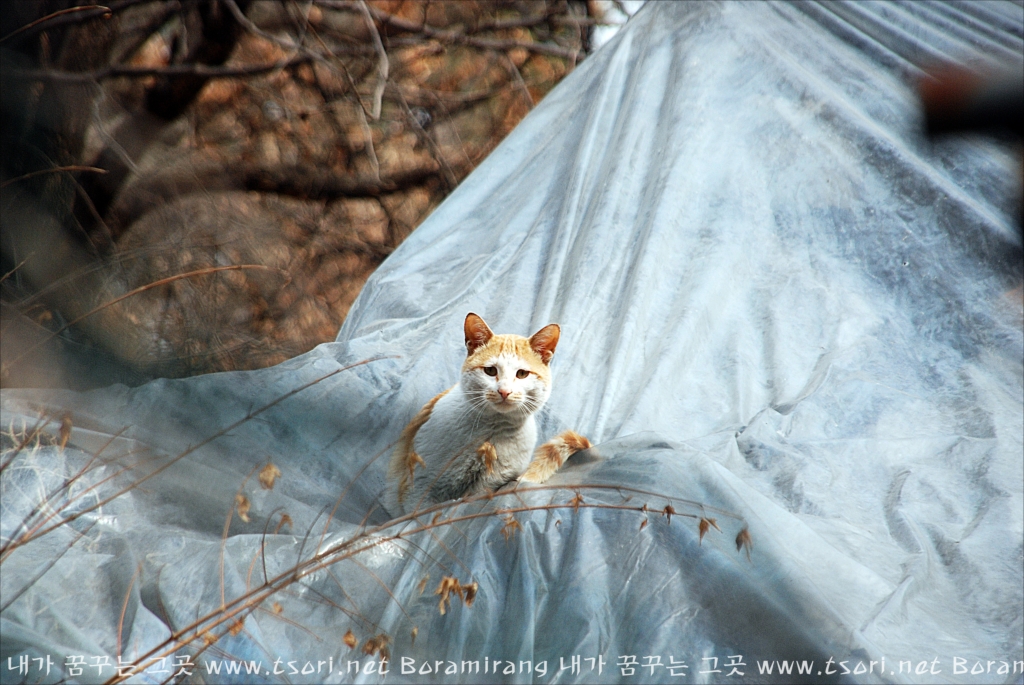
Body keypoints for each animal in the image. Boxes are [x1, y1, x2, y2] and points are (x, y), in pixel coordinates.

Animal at [385, 313, 593, 516]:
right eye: (490, 371)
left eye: (522, 374)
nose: (504, 391)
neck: (488, 433)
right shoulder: (419, 487)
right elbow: (417, 517)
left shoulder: (488, 485)